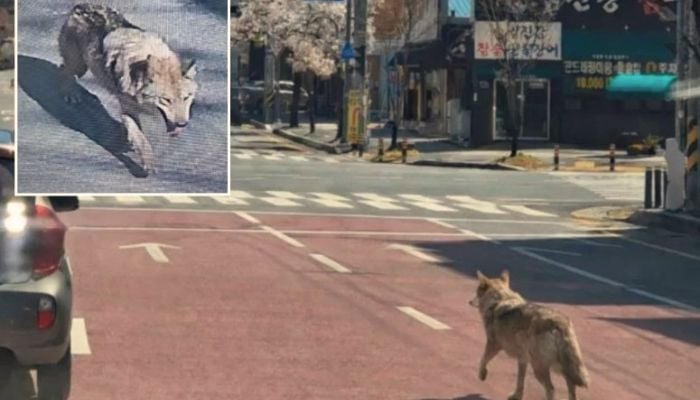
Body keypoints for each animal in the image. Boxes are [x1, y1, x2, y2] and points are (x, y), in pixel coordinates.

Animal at [57, 3, 197, 174]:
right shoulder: (127, 107)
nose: (182, 124)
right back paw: (70, 94)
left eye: (186, 98)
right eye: (166, 100)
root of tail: (81, 5)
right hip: (79, 66)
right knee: (64, 69)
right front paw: (148, 161)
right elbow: (140, 137)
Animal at [469, 270, 589, 400]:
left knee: (551, 389)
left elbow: (483, 359)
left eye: (477, 291)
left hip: (540, 367)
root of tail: (559, 322)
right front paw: (516, 396)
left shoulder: (493, 344)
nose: (469, 302)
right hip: (558, 366)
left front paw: (482, 375)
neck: (499, 300)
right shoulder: (523, 359)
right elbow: (520, 381)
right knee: (571, 385)